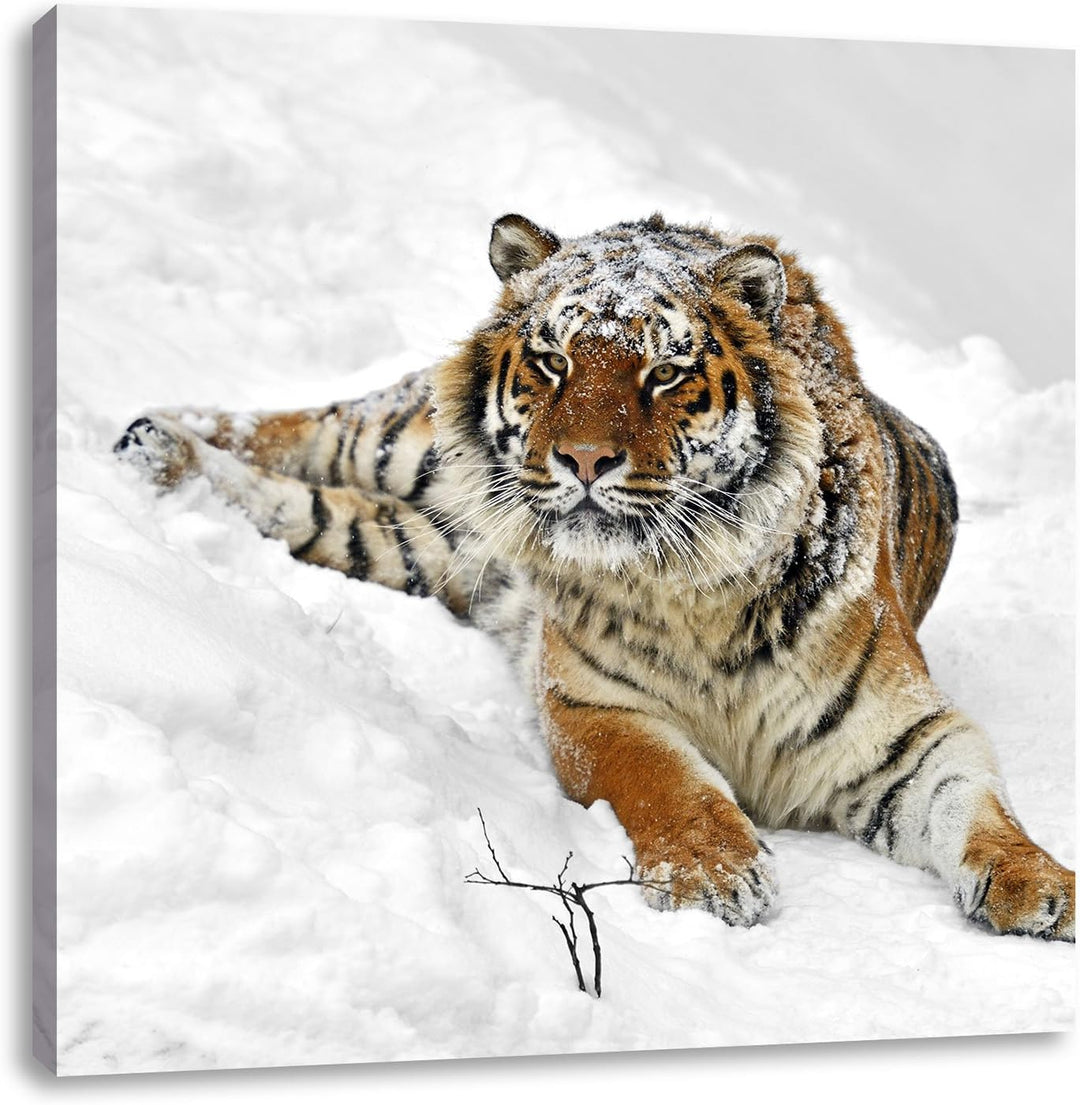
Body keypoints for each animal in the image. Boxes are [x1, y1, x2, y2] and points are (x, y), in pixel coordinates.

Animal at [114, 212, 1075, 940]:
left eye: (666, 372)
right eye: (553, 360)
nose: (581, 459)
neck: (699, 589)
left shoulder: (907, 732)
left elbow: (977, 805)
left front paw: (1043, 886)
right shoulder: (593, 704)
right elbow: (667, 779)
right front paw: (714, 873)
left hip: (419, 543)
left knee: (304, 506)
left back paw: (161, 454)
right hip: (401, 442)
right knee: (299, 426)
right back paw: (140, 431)